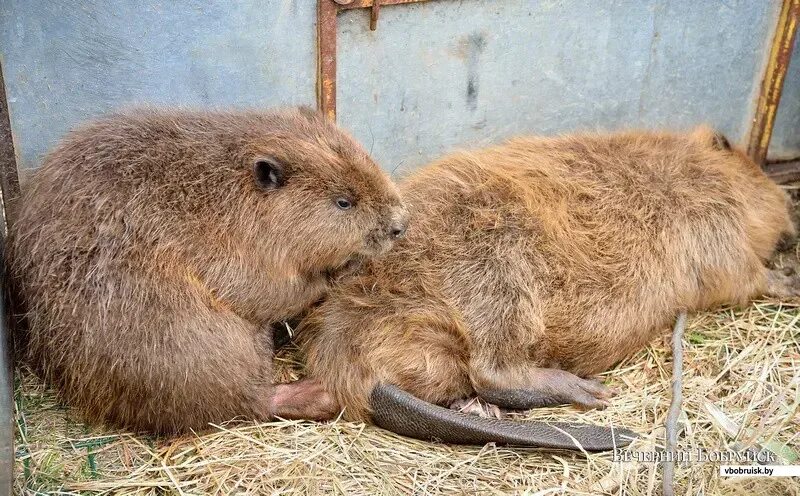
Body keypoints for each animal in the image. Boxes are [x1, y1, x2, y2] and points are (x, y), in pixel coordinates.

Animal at [4, 107, 406, 434]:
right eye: (344, 202)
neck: (230, 194)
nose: (400, 225)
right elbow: (268, 294)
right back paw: (321, 394)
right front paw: (342, 270)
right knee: (245, 403)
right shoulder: (233, 251)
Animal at [298, 126, 792, 452]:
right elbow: (740, 276)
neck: (688, 172)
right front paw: (788, 280)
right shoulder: (715, 224)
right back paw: (584, 390)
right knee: (491, 369)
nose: (792, 217)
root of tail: (346, 357)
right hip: (500, 272)